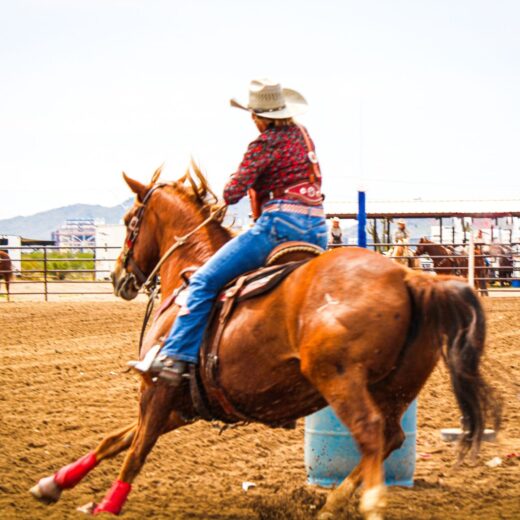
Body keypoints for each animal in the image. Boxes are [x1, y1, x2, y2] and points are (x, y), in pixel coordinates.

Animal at [29, 167, 500, 520]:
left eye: (131, 222)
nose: (117, 277)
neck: (188, 274)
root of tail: (407, 276)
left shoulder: (158, 387)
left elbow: (136, 451)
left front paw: (107, 507)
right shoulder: (182, 405)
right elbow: (115, 440)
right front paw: (52, 484)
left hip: (341, 381)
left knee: (370, 434)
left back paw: (362, 503)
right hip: (396, 388)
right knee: (390, 439)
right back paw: (332, 505)